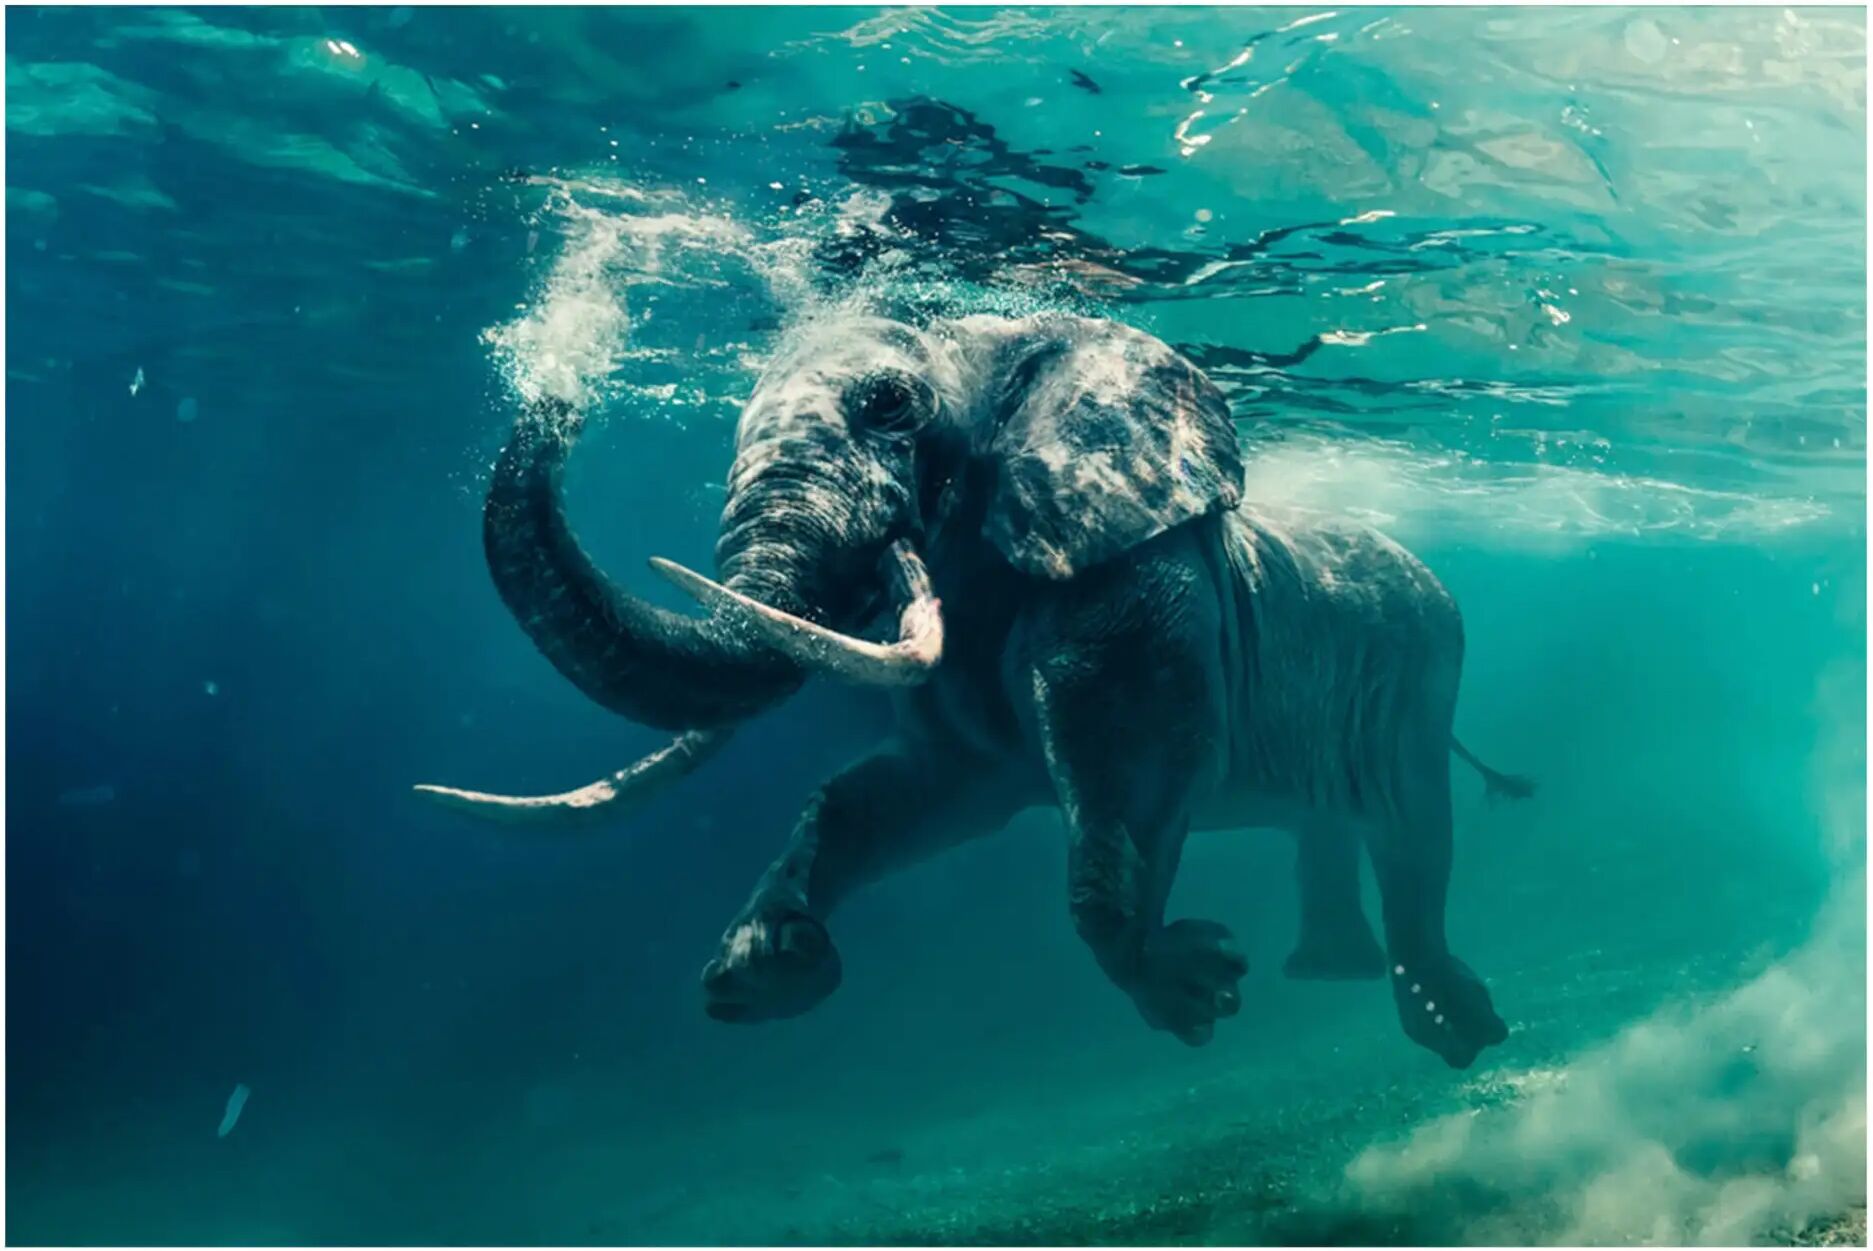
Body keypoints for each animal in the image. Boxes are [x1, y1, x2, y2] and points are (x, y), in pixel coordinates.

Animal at [418, 312, 1533, 1069]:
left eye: (888, 407)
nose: (558, 390)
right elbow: (894, 794)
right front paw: (761, 974)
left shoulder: (1135, 580)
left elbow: (1130, 769)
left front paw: (1194, 990)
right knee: (1334, 824)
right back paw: (1336, 976)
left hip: (1424, 672)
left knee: (1412, 832)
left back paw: (1455, 1031)